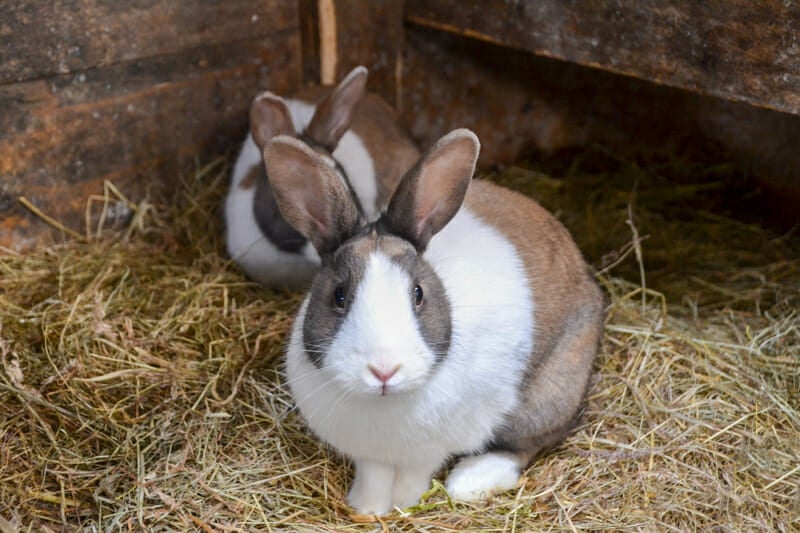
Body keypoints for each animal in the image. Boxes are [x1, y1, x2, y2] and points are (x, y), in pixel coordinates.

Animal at [264, 127, 608, 512]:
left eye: (418, 293)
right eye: (339, 295)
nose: (384, 370)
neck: (384, 403)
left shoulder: (431, 451)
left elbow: (415, 475)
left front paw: (403, 504)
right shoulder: (370, 457)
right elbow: (374, 476)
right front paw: (366, 509)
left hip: (550, 396)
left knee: (526, 445)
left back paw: (469, 481)